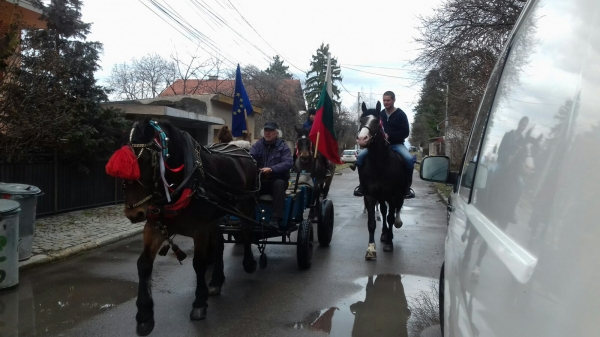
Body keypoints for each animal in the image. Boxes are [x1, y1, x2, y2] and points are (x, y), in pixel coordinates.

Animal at [108, 119, 258, 334]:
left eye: (146, 160)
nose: (133, 214)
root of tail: (241, 149)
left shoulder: (200, 229)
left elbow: (199, 264)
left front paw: (199, 303)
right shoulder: (154, 227)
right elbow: (143, 264)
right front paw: (144, 316)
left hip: (245, 203)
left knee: (246, 231)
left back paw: (249, 263)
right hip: (215, 215)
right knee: (219, 245)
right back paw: (216, 281)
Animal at [356, 101, 408, 258]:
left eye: (376, 121)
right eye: (361, 120)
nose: (362, 139)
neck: (379, 164)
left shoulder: (393, 196)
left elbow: (391, 218)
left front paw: (389, 244)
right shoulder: (370, 196)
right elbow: (371, 222)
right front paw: (371, 249)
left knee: (394, 211)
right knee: (384, 212)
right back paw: (384, 234)